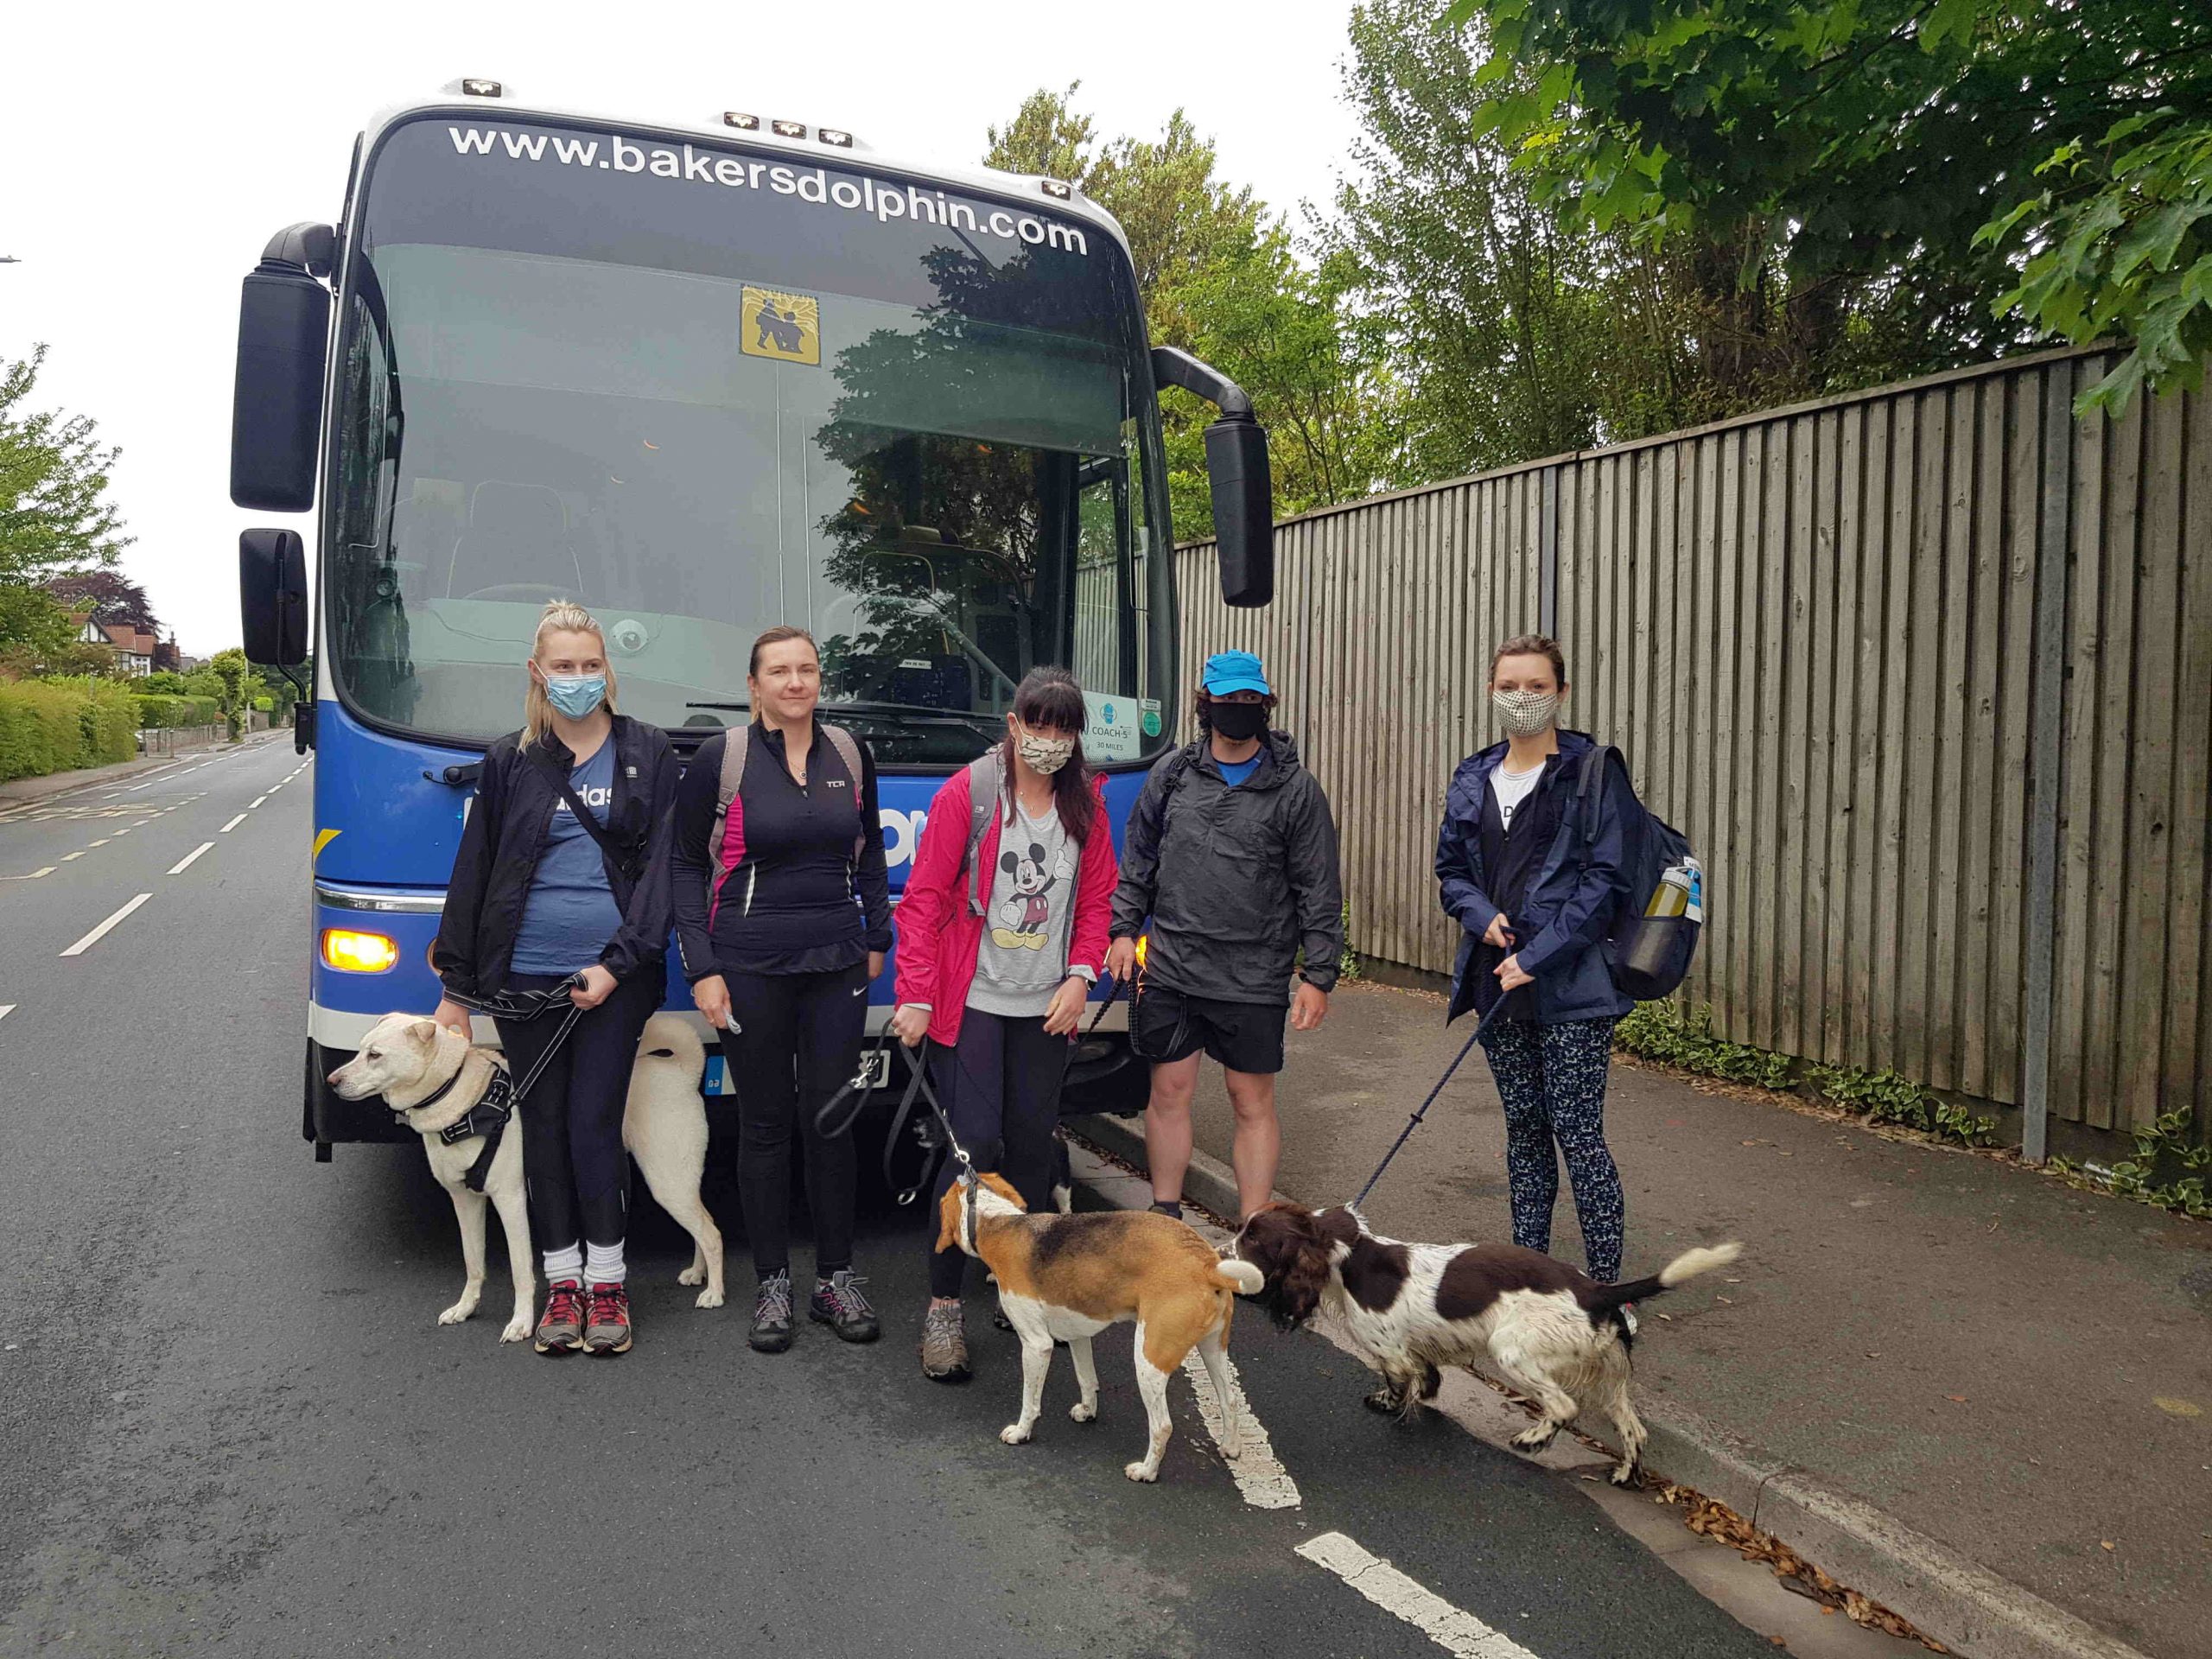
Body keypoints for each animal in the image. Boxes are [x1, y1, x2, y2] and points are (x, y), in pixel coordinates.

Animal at [327, 1008, 725, 1344]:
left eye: (375, 1055)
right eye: (360, 1050)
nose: (332, 1080)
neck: (464, 1098)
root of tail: (683, 1072)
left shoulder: (511, 1200)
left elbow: (520, 1271)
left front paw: (520, 1324)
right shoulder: (464, 1200)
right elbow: (473, 1262)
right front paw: (465, 1308)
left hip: (667, 1180)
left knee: (711, 1233)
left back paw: (714, 1292)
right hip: (678, 1183)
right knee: (703, 1225)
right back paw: (697, 1273)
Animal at [942, 1176, 1274, 1486]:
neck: (998, 1223)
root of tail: (1207, 1267)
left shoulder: (1037, 1346)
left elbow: (1030, 1400)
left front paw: (1021, 1432)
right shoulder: (1077, 1335)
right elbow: (1087, 1378)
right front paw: (1088, 1410)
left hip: (1149, 1360)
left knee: (1162, 1425)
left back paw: (1146, 1471)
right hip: (1212, 1349)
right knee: (1229, 1400)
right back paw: (1231, 1447)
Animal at [1238, 1203, 1734, 1486]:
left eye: (1253, 1240)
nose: (1224, 1251)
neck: (1349, 1255)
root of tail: (1597, 1290)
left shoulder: (1391, 1349)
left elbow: (1398, 1380)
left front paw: (1388, 1405)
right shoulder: (1420, 1345)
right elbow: (1425, 1371)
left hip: (1513, 1351)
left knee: (1564, 1406)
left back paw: (1533, 1439)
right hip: (1608, 1375)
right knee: (1634, 1430)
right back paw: (1624, 1474)